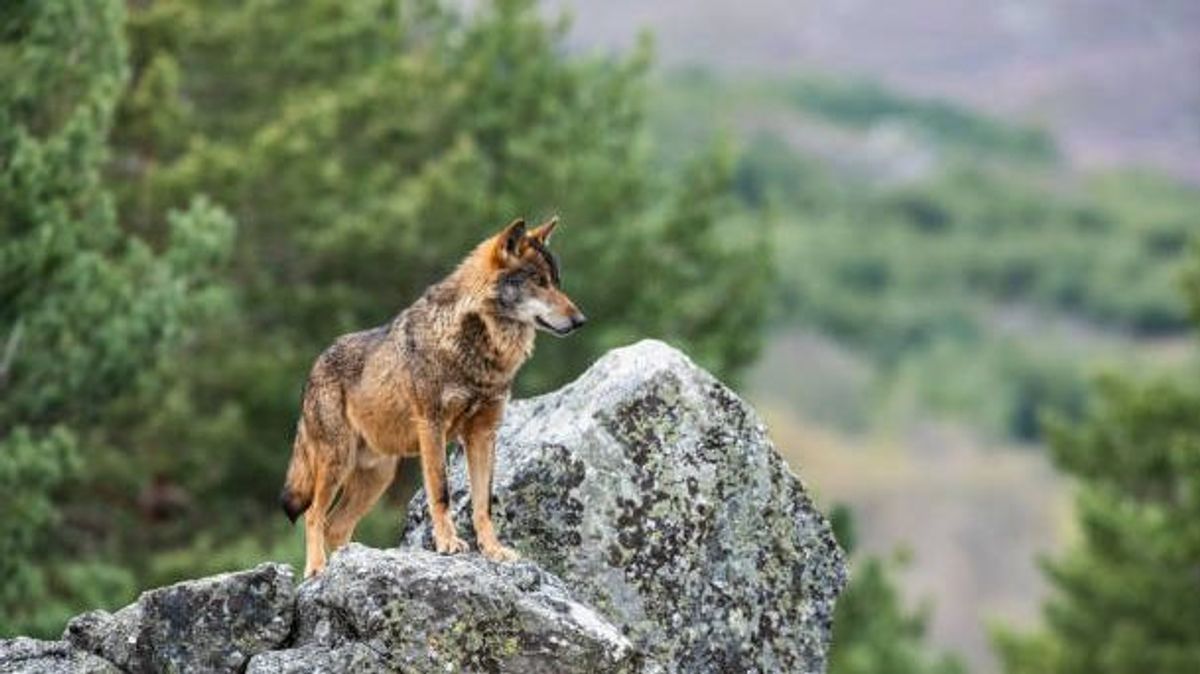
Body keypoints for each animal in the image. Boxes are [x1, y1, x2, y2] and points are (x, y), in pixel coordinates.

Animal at [277, 218, 585, 575]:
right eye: (539, 282)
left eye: (557, 283)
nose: (581, 320)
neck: (479, 347)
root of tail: (314, 367)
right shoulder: (432, 426)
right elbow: (441, 492)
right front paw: (448, 544)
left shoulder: (483, 434)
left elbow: (483, 503)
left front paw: (493, 550)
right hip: (337, 463)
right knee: (314, 515)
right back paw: (317, 570)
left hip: (378, 476)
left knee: (336, 526)